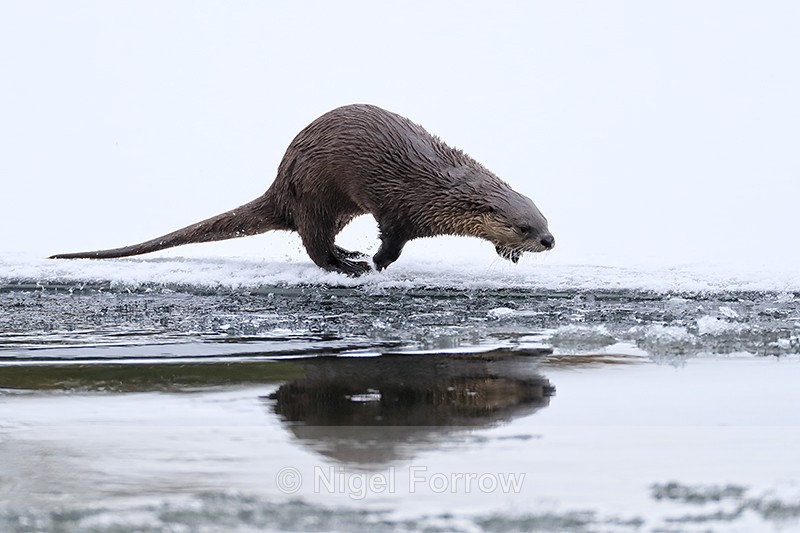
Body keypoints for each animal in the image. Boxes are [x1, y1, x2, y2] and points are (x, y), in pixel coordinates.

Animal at [50, 104, 554, 276]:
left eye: (545, 220)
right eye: (524, 227)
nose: (549, 241)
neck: (440, 190)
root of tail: (279, 185)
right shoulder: (399, 208)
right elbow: (391, 241)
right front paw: (378, 264)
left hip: (335, 207)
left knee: (323, 238)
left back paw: (347, 254)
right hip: (314, 195)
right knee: (313, 244)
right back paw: (347, 267)